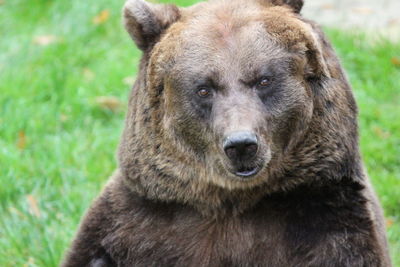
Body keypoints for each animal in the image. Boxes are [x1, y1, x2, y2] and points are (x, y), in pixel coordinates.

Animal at [61, 0, 390, 266]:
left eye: (264, 79)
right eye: (204, 88)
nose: (241, 144)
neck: (227, 201)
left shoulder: (328, 222)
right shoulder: (133, 221)